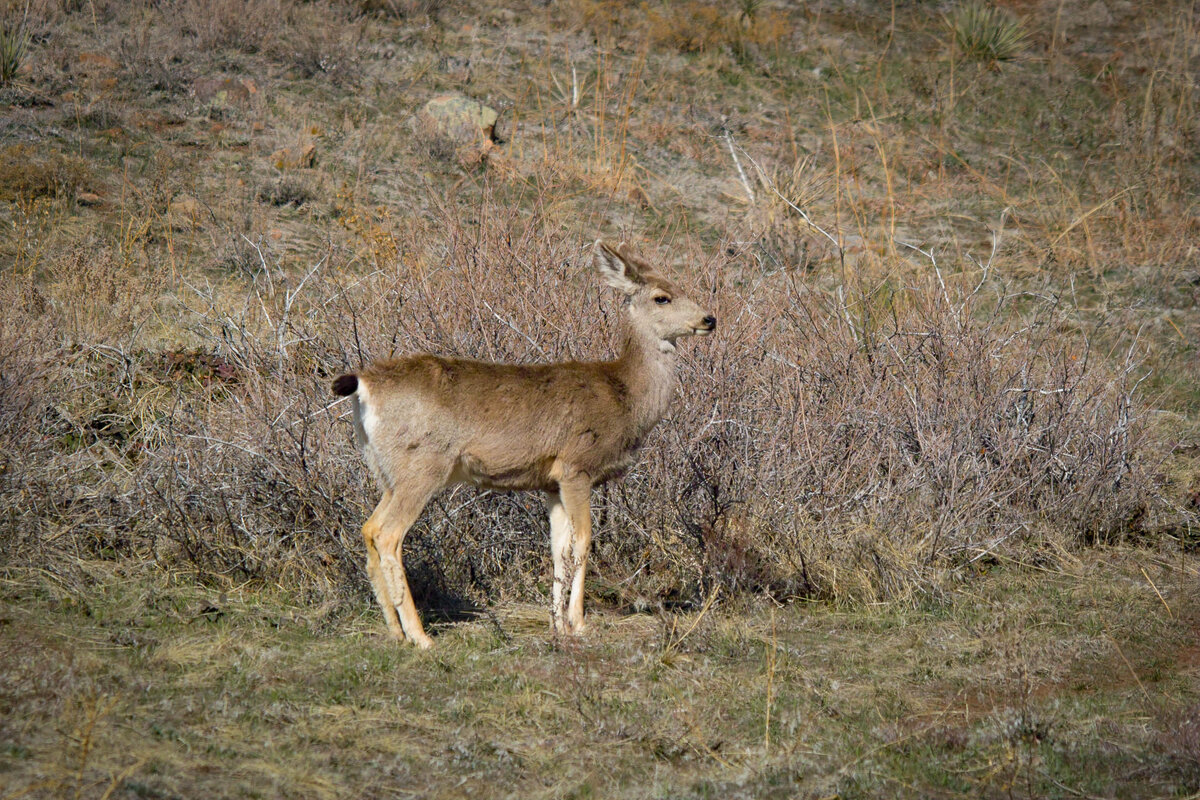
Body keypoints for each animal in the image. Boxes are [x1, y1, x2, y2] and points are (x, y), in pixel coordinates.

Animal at [332, 240, 716, 648]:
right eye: (662, 297)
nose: (710, 319)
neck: (624, 395)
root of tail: (363, 384)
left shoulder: (550, 482)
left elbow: (558, 549)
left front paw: (557, 624)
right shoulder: (576, 466)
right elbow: (583, 541)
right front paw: (579, 623)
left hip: (385, 469)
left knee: (368, 529)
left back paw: (395, 632)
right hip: (422, 465)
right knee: (388, 535)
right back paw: (421, 637)